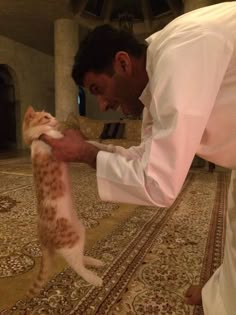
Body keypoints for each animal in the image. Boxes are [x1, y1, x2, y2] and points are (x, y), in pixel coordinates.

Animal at [22, 107, 103, 298]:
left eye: (50, 114)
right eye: (46, 117)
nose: (55, 119)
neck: (37, 138)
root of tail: (43, 238)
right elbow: (81, 140)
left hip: (80, 231)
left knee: (80, 258)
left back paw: (93, 261)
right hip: (71, 241)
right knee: (75, 264)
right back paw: (93, 278)